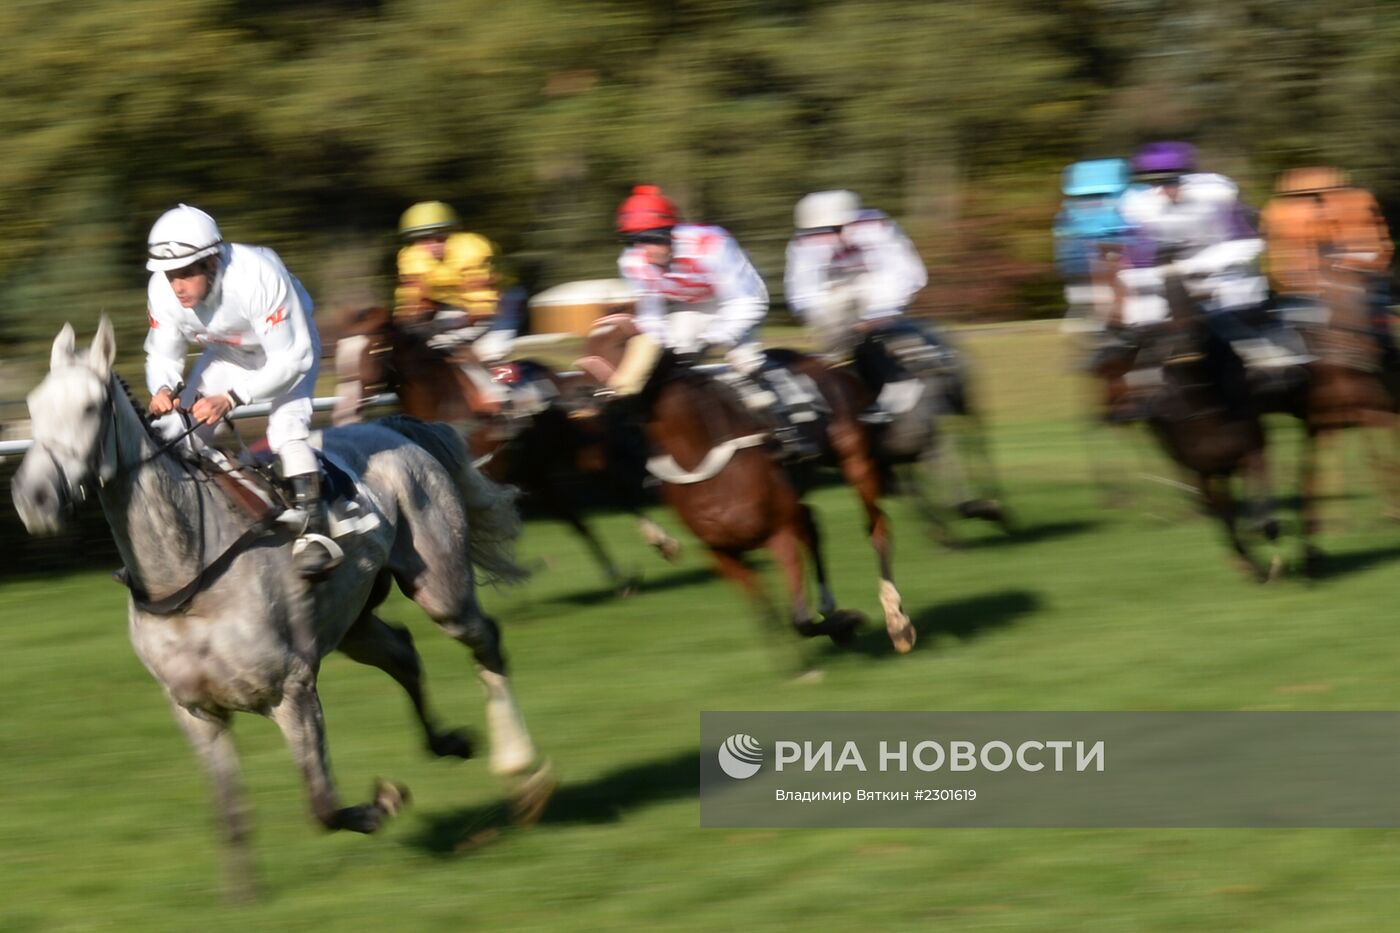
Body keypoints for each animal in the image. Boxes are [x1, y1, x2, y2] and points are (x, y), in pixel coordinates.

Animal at [13, 316, 554, 896]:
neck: (187, 573)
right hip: (353, 623)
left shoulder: (291, 690)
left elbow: (322, 804)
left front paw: (383, 803)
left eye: (91, 407)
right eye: (34, 405)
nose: (33, 499)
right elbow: (230, 812)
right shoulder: (195, 710)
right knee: (404, 653)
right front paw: (242, 896)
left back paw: (520, 767)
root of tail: (395, 429)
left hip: (441, 588)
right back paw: (450, 742)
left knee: (485, 641)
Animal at [327, 308, 677, 591]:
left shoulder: (482, 484)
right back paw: (619, 575)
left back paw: (661, 542)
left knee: (619, 489)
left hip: (581, 454)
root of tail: (568, 380)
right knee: (576, 518)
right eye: (339, 352)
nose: (345, 410)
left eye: (371, 349)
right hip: (537, 471)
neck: (445, 403)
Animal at [579, 319, 918, 652]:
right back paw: (832, 604)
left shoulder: (778, 533)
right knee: (812, 525)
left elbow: (800, 619)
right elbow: (768, 618)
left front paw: (848, 622)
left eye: (620, 341)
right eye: (586, 344)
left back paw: (896, 621)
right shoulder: (719, 550)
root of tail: (830, 365)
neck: (700, 455)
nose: (583, 395)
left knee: (877, 529)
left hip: (858, 463)